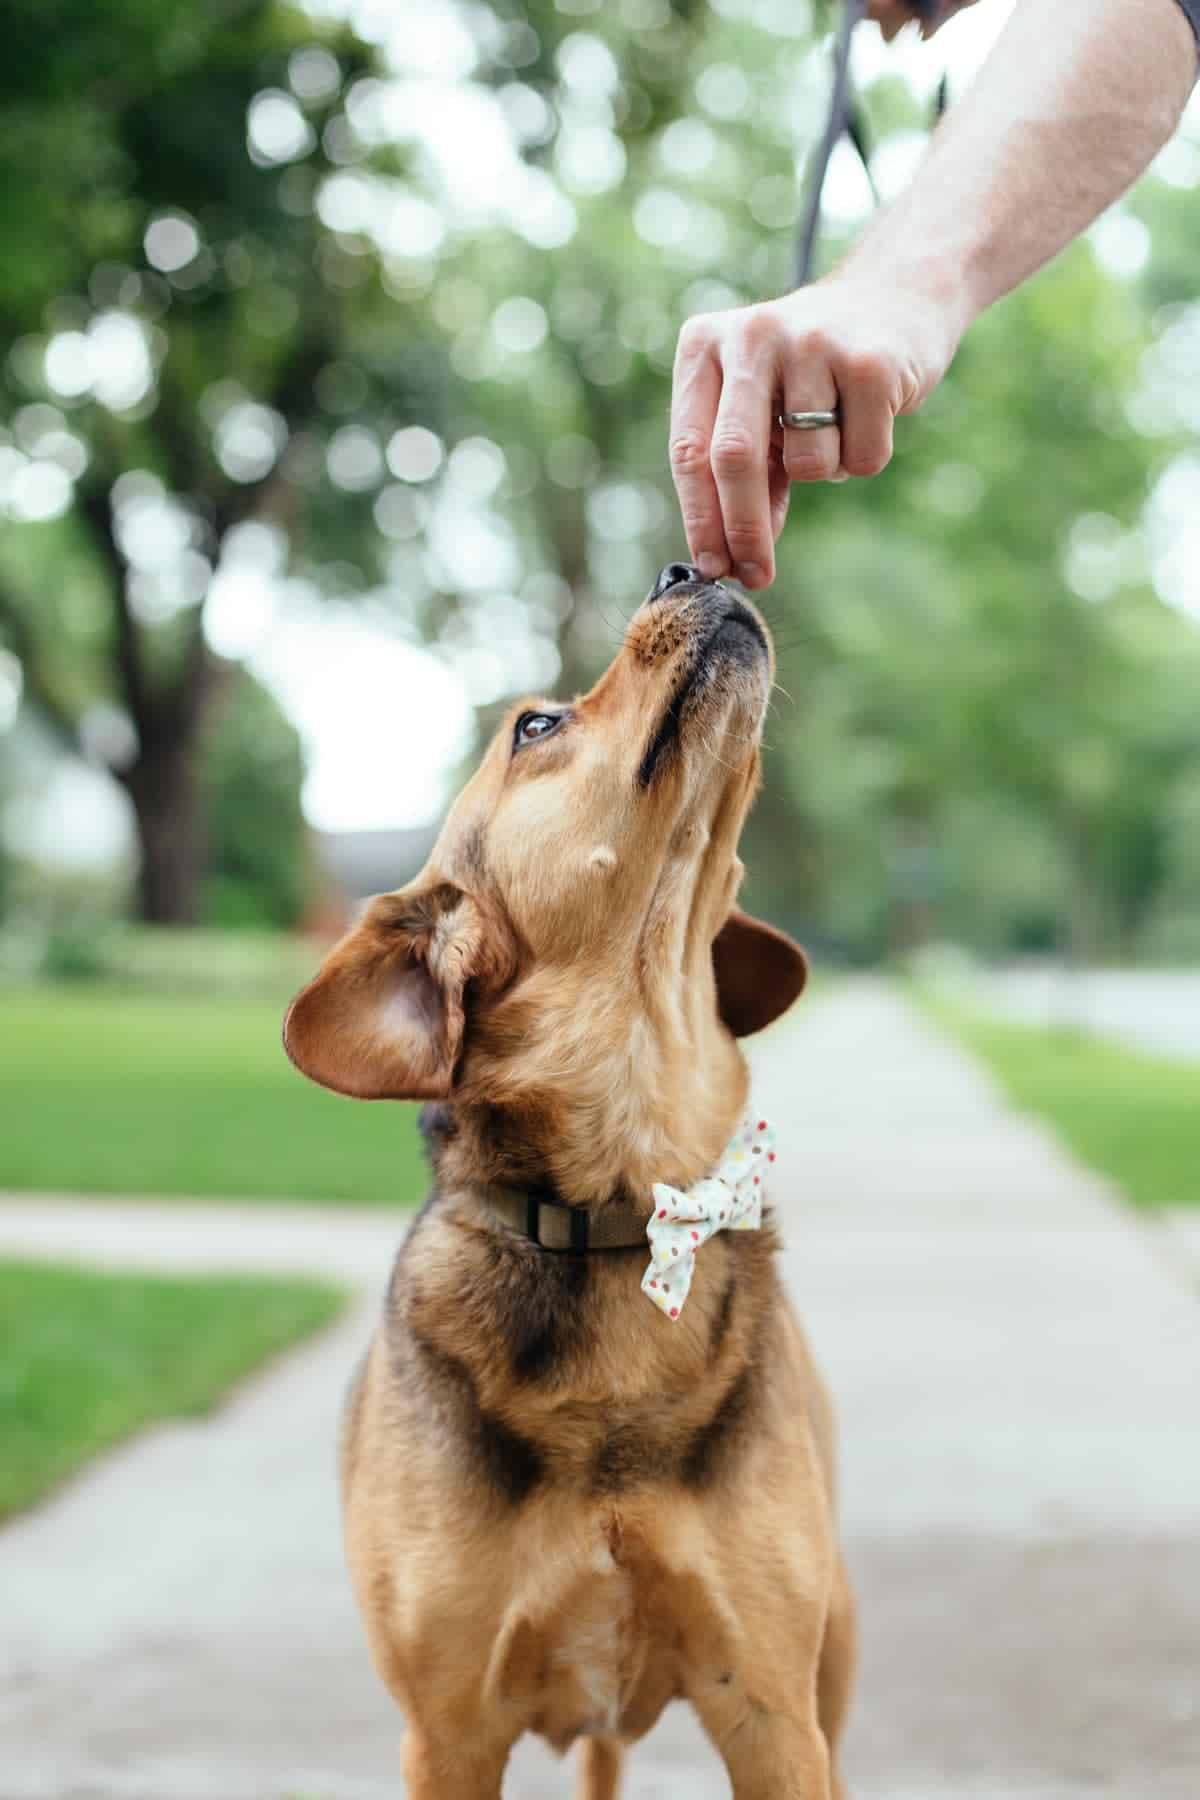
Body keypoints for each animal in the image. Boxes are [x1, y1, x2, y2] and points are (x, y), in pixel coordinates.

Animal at [287, 565, 859, 1800]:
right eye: (535, 729)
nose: (685, 569)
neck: (623, 1219)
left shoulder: (774, 1717)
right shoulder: (449, 1734)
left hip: (835, 1660)